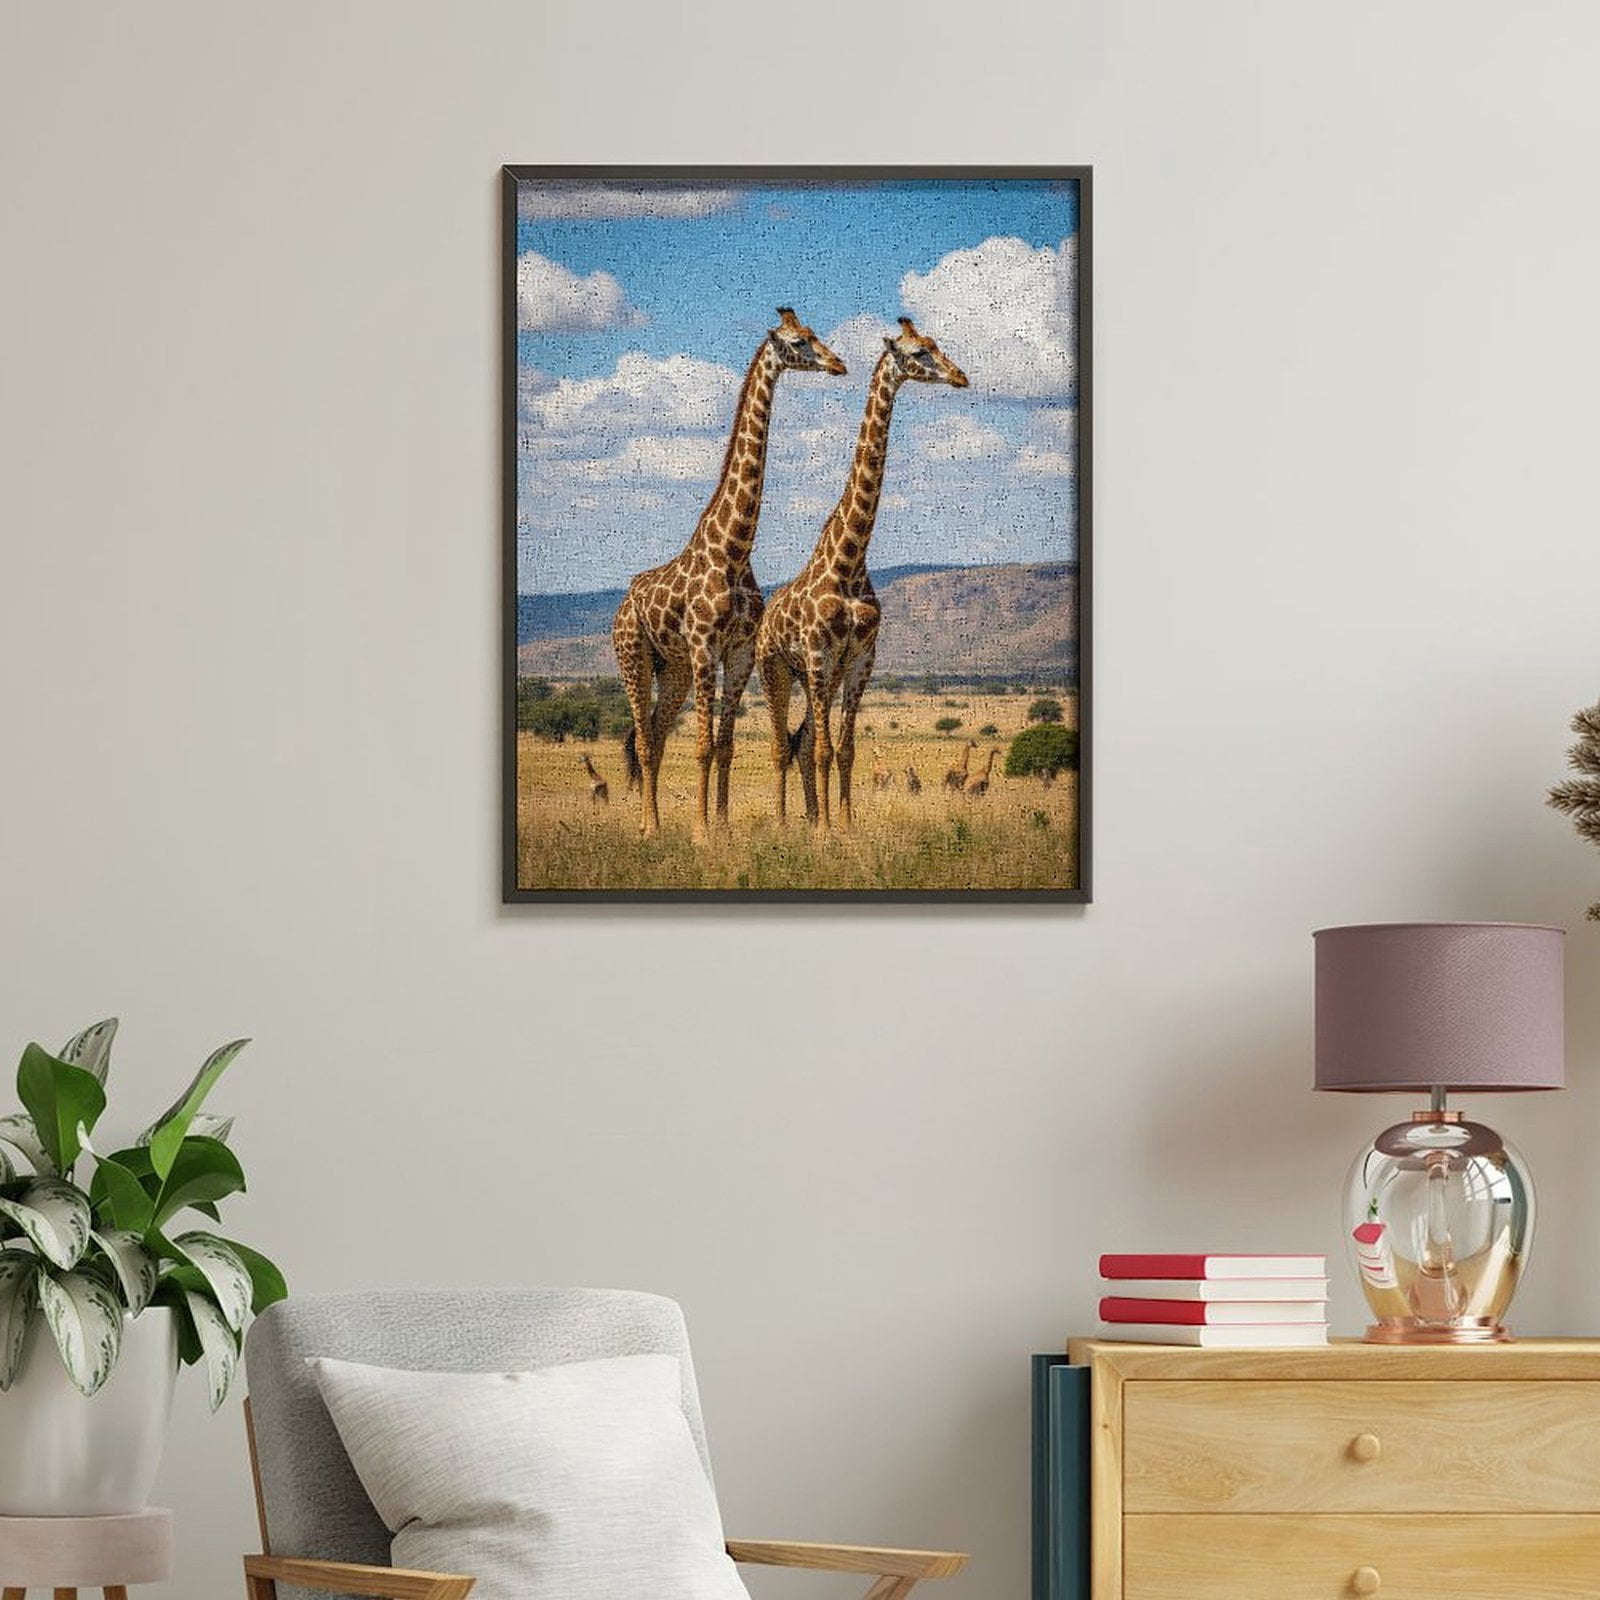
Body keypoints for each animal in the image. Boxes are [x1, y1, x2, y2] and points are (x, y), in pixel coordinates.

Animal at [613, 309, 846, 840]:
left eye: (816, 335)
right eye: (800, 342)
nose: (838, 363)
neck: (735, 549)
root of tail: (623, 604)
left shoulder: (738, 651)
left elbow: (725, 745)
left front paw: (722, 826)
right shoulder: (704, 646)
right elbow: (701, 746)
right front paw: (701, 832)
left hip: (673, 668)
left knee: (657, 733)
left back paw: (656, 822)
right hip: (633, 656)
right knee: (642, 739)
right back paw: (648, 828)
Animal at [757, 318, 968, 831]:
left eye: (936, 345)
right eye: (919, 351)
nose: (960, 376)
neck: (850, 561)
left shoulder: (858, 659)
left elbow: (844, 748)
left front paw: (845, 824)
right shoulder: (818, 654)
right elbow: (825, 749)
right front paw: (827, 832)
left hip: (818, 676)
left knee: (801, 739)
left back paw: (811, 816)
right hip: (776, 669)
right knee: (781, 744)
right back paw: (785, 822)